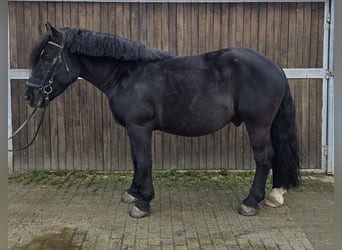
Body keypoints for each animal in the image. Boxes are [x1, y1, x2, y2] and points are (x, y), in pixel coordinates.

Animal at [25, 23, 300, 219]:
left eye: (47, 57)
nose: (30, 95)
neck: (127, 75)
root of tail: (275, 67)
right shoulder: (133, 129)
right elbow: (136, 160)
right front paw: (132, 193)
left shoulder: (139, 127)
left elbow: (145, 161)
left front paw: (143, 203)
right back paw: (273, 195)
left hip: (258, 125)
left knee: (264, 158)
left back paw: (250, 202)